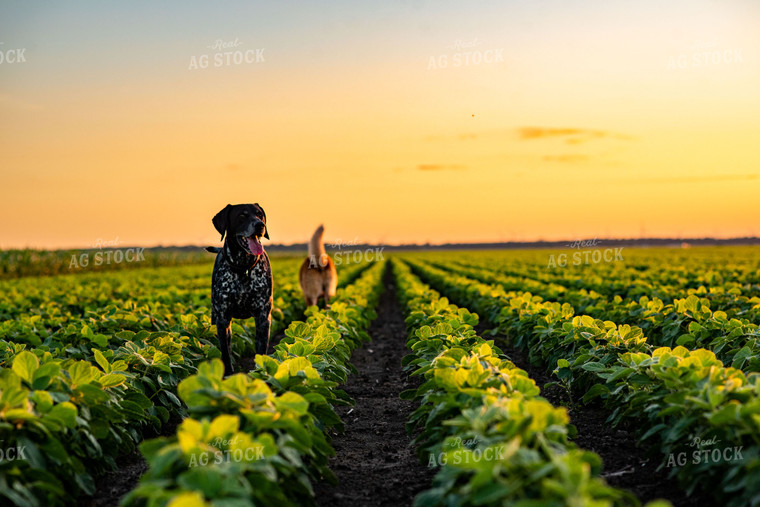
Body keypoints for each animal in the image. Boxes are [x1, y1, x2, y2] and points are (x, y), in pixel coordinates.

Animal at [206, 203, 272, 378]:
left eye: (259, 215)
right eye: (242, 215)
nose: (260, 225)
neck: (243, 267)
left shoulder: (263, 318)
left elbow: (261, 352)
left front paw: (260, 375)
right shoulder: (222, 319)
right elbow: (225, 353)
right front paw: (228, 375)